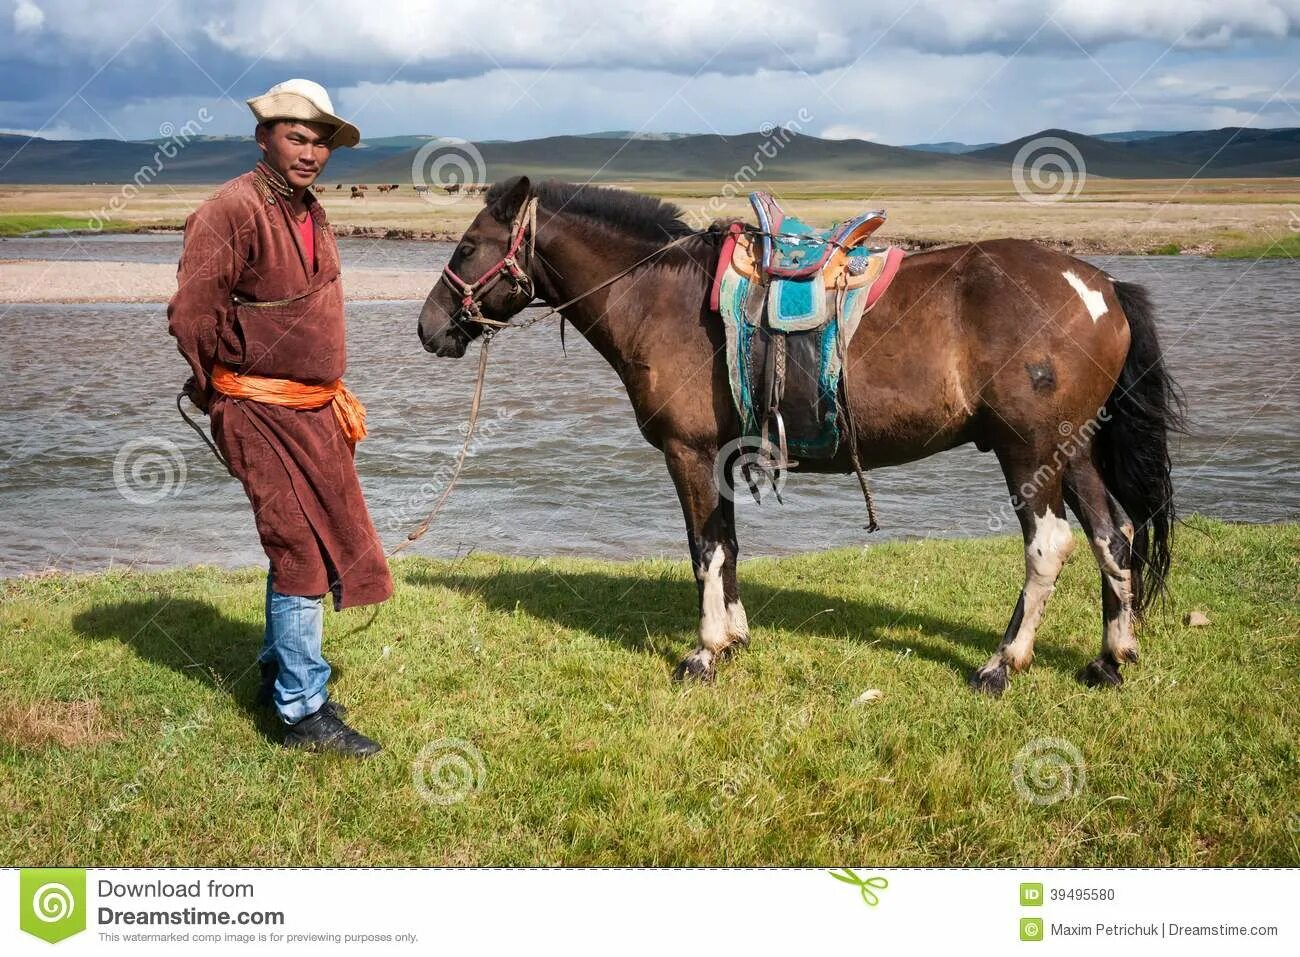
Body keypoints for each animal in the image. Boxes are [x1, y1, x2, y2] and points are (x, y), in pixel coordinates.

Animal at [418, 175, 1190, 691]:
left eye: (469, 244)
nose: (428, 327)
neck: (662, 298)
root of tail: (1102, 286)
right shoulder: (719, 456)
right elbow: (728, 546)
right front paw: (734, 638)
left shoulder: (688, 454)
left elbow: (703, 548)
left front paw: (703, 653)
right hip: (1074, 450)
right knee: (1114, 537)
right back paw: (1109, 659)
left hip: (1030, 452)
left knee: (1049, 545)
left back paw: (1003, 664)